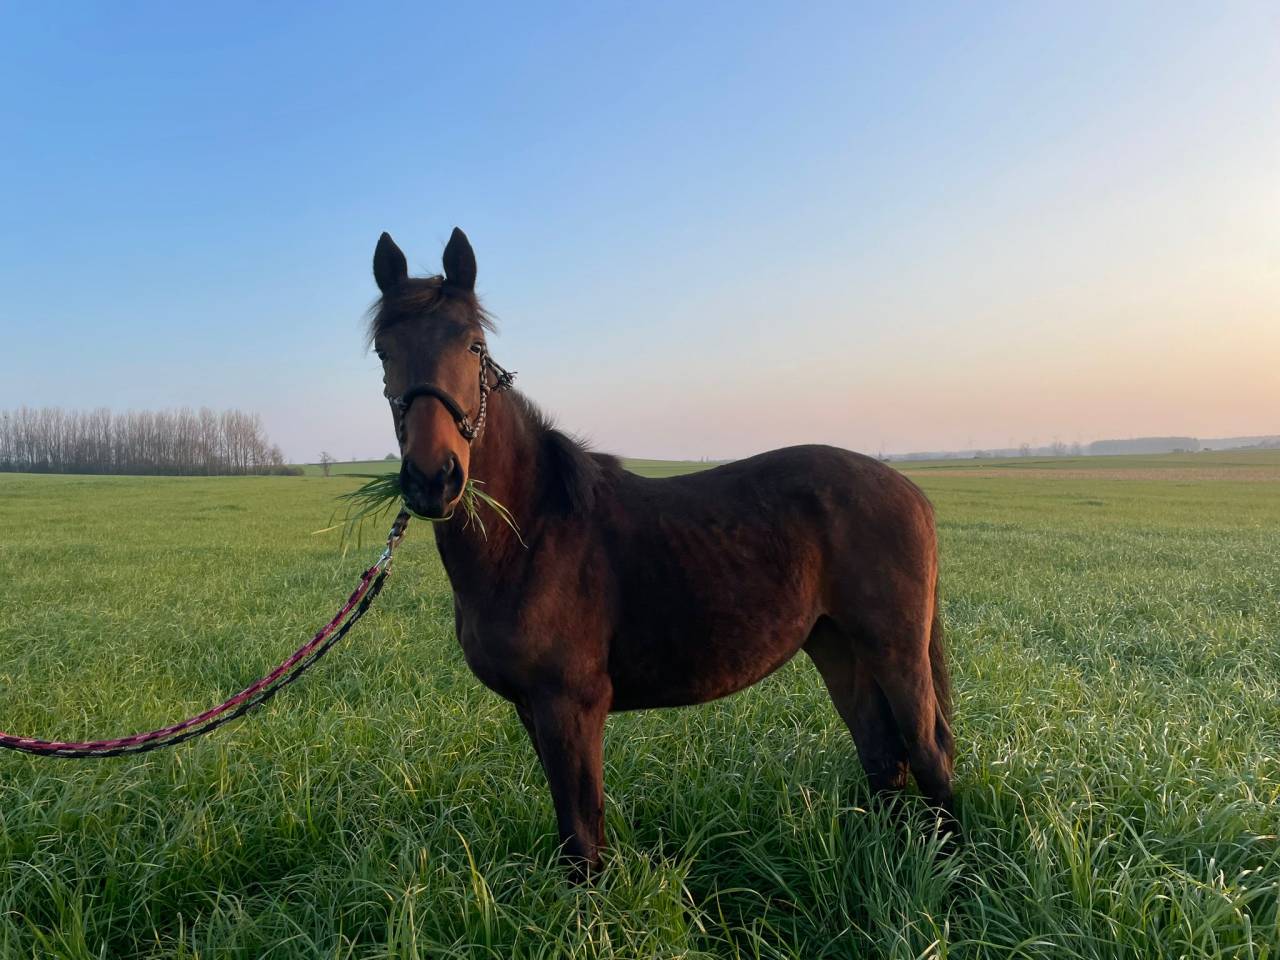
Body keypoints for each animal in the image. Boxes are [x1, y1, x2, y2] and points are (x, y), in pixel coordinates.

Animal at [368, 227, 956, 876]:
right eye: (383, 352)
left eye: (474, 346)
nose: (433, 478)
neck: (531, 533)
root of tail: (909, 490)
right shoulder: (533, 708)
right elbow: (574, 831)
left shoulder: (571, 705)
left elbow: (583, 837)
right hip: (836, 644)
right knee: (882, 755)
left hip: (894, 647)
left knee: (929, 754)